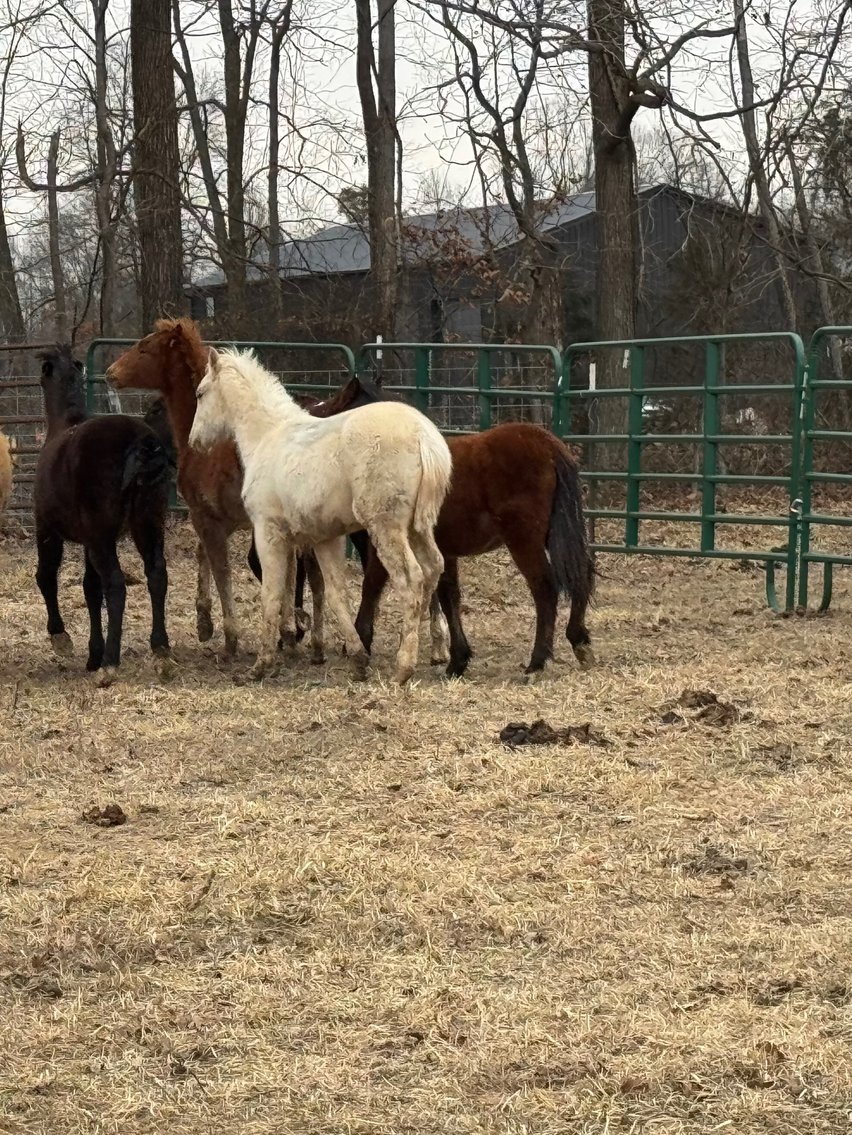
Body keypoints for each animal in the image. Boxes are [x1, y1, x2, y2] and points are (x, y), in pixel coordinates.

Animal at [33, 345, 172, 685]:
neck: (63, 423)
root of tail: (140, 441)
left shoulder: (48, 529)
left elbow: (47, 576)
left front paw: (62, 638)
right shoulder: (88, 541)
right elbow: (90, 589)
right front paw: (92, 654)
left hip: (103, 537)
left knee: (117, 585)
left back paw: (111, 661)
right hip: (147, 525)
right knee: (156, 574)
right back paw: (160, 648)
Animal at [189, 347, 451, 684]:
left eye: (200, 393)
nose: (195, 441)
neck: (267, 437)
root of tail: (425, 438)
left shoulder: (268, 531)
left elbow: (272, 594)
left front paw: (261, 665)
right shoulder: (326, 539)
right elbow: (337, 594)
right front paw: (357, 660)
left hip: (386, 527)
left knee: (412, 580)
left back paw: (403, 668)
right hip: (419, 527)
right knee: (433, 568)